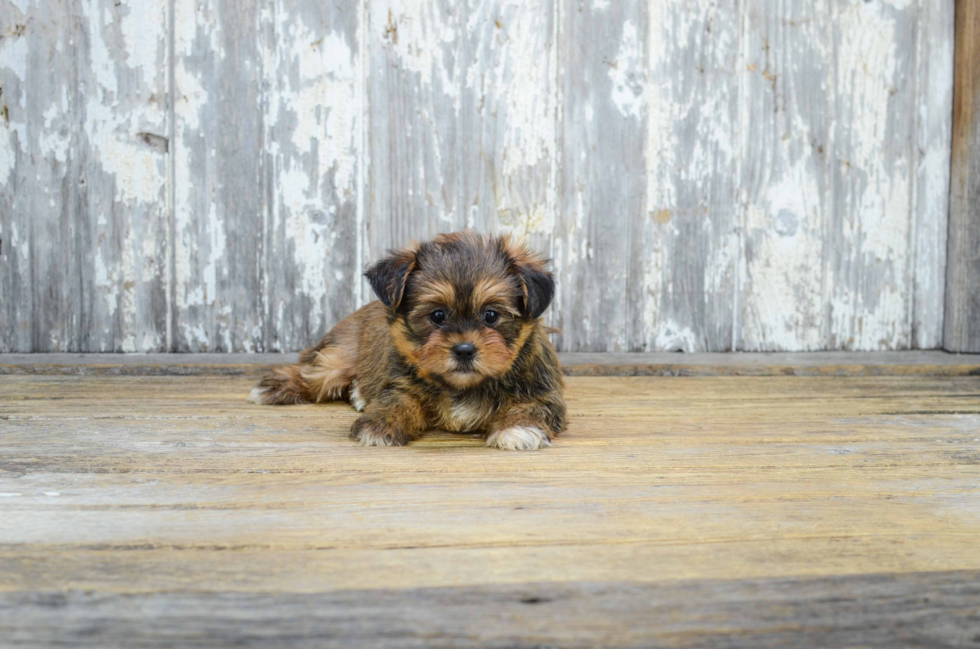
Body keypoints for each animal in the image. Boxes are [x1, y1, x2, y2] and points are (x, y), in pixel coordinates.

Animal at [249, 233, 568, 450]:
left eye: (491, 315)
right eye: (437, 316)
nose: (464, 350)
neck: (462, 386)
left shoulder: (542, 392)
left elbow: (529, 407)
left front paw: (518, 429)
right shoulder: (401, 383)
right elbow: (396, 401)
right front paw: (380, 425)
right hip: (341, 354)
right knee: (316, 373)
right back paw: (275, 387)